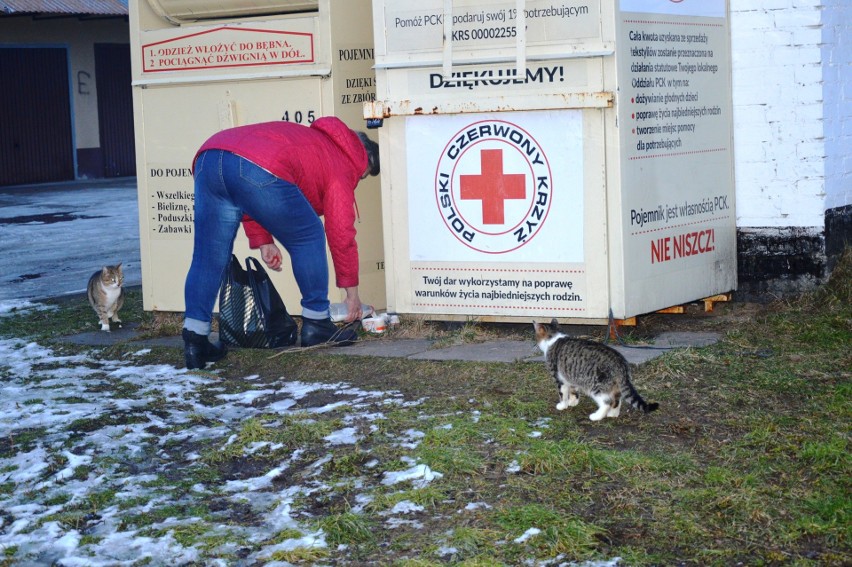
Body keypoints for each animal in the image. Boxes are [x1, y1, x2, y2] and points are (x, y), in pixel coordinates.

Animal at [532, 320, 660, 422]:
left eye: (535, 336)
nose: (534, 344)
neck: (554, 338)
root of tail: (620, 362)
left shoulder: (559, 379)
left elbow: (563, 394)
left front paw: (562, 405)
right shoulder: (571, 376)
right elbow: (573, 391)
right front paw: (573, 402)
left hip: (596, 386)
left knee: (607, 402)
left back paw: (596, 416)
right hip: (614, 385)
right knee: (617, 400)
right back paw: (613, 414)